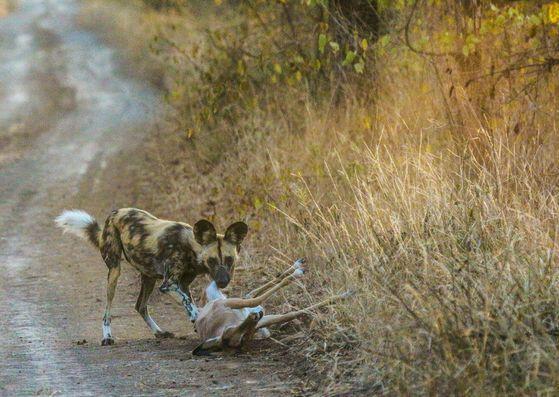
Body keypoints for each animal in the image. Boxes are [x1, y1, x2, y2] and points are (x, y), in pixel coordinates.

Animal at [55, 209, 247, 344]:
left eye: (229, 260)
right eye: (212, 261)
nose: (222, 281)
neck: (191, 247)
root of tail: (114, 213)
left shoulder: (182, 285)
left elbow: (189, 302)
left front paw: (198, 318)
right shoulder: (168, 285)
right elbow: (188, 303)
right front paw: (197, 316)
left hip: (149, 277)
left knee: (140, 306)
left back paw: (159, 332)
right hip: (115, 272)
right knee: (107, 312)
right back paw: (107, 337)